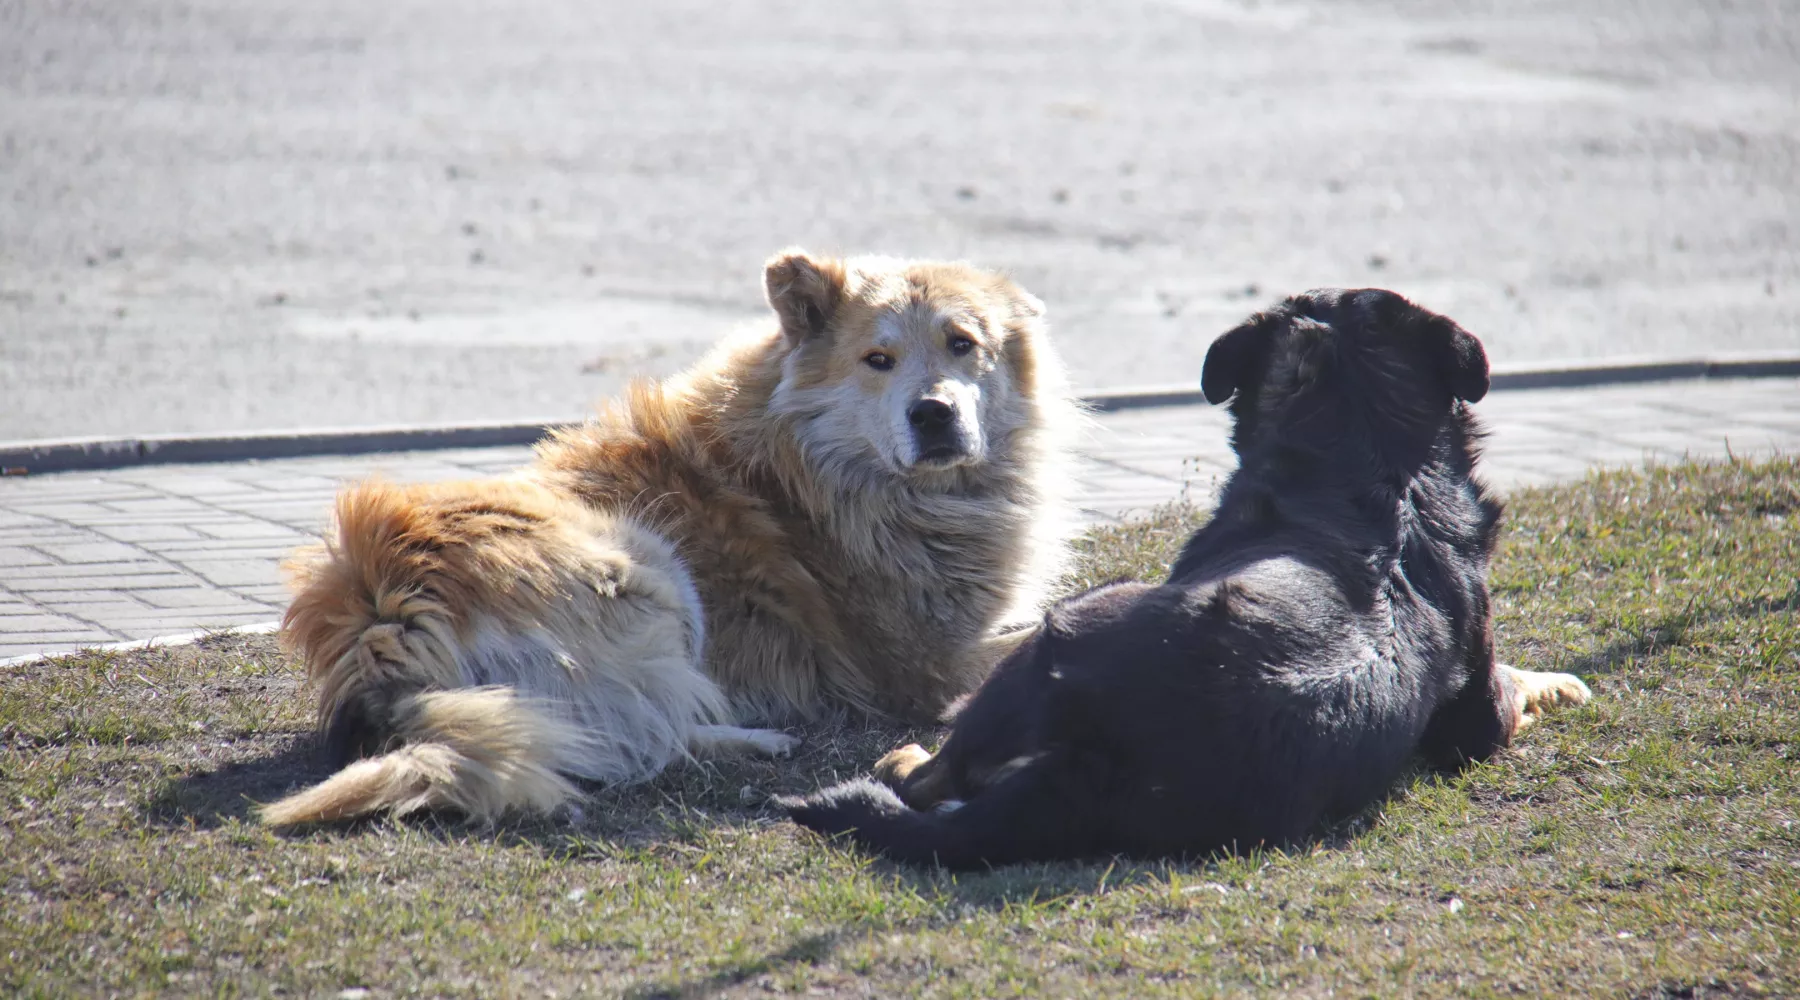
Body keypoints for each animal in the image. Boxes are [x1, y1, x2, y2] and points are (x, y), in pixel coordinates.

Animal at [777, 287, 1591, 866]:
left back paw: (907, 757)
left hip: (1069, 623)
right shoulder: (1475, 700)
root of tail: (1105, 756)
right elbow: (1501, 696)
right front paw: (1555, 682)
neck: (1378, 469)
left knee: (930, 776)